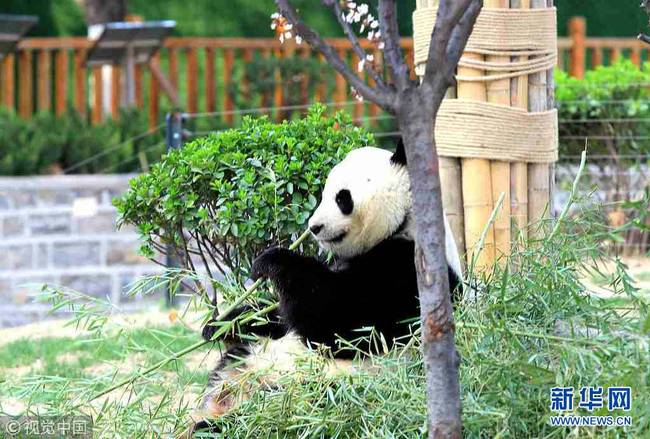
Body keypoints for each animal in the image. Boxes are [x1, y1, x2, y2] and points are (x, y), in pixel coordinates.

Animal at [192, 140, 460, 434]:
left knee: (271, 416)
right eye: (323, 195)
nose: (314, 227)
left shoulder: (408, 272)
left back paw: (213, 425)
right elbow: (279, 318)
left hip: (315, 392)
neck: (404, 222)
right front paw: (220, 324)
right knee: (235, 358)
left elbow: (342, 323)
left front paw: (272, 260)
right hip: (251, 355)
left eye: (342, 198)